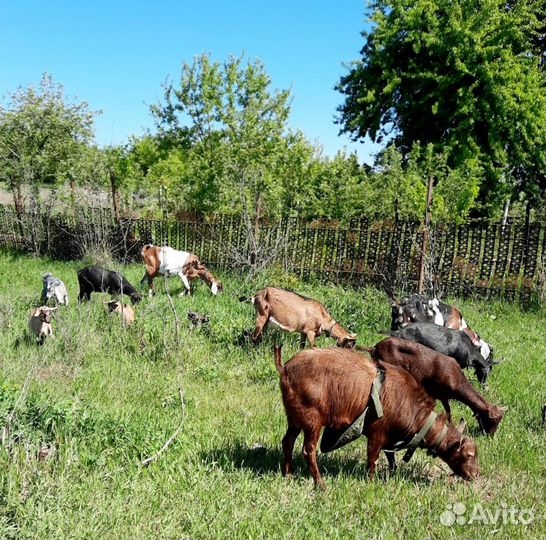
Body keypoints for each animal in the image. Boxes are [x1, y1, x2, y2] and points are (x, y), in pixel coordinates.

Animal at [274, 346, 478, 490]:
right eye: (468, 455)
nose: (475, 475)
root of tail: (285, 368)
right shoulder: (376, 432)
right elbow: (373, 458)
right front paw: (372, 480)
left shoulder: (391, 436)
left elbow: (390, 457)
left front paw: (392, 473)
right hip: (312, 419)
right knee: (308, 450)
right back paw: (320, 484)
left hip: (294, 417)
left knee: (287, 441)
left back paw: (289, 473)